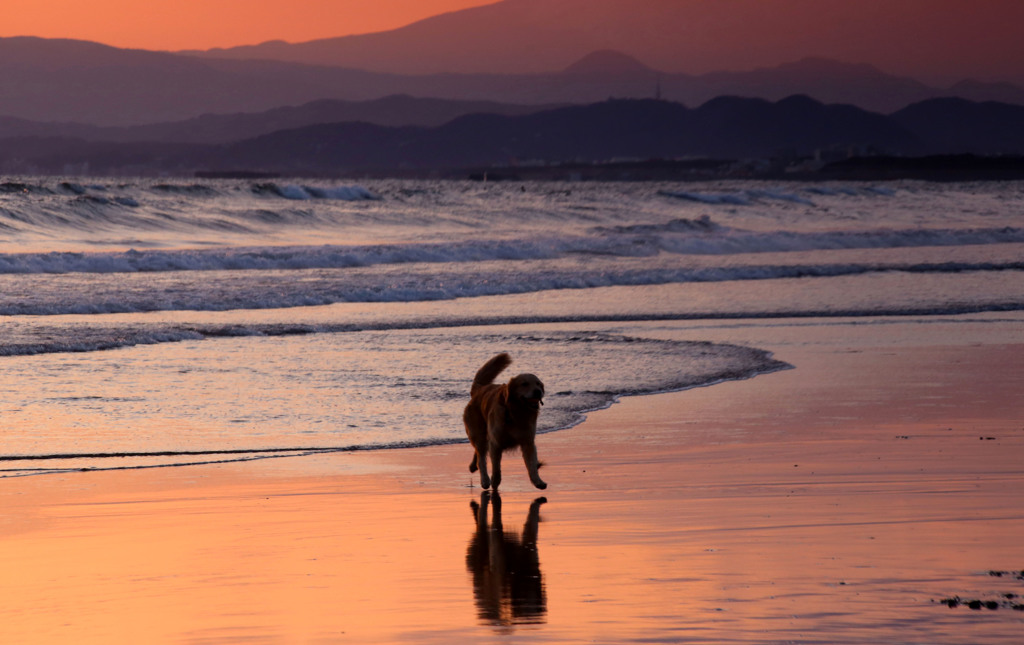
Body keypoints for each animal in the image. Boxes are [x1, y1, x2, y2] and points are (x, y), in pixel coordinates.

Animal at [462, 354, 544, 489]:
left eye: (538, 384)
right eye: (524, 384)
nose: (538, 391)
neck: (516, 413)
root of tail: (479, 390)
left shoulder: (528, 442)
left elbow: (531, 465)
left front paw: (538, 481)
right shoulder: (496, 443)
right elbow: (496, 468)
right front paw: (495, 481)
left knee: (478, 452)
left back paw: (473, 466)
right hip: (478, 432)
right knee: (481, 457)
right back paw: (484, 480)